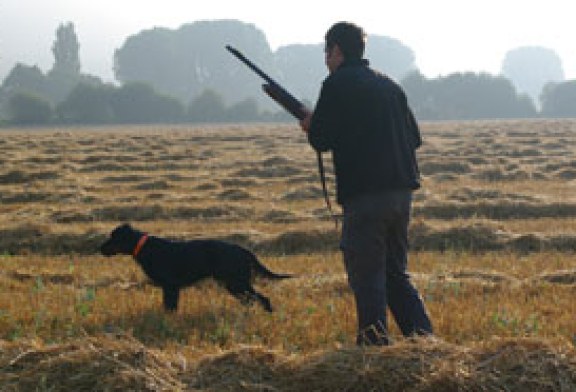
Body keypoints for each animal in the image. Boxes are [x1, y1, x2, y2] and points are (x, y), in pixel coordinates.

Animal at [100, 224, 292, 312]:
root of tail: (244, 250)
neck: (146, 247)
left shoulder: (170, 286)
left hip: (236, 283)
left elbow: (170, 307)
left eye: (113, 238)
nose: (100, 248)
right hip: (236, 285)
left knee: (262, 299)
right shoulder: (170, 288)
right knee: (251, 300)